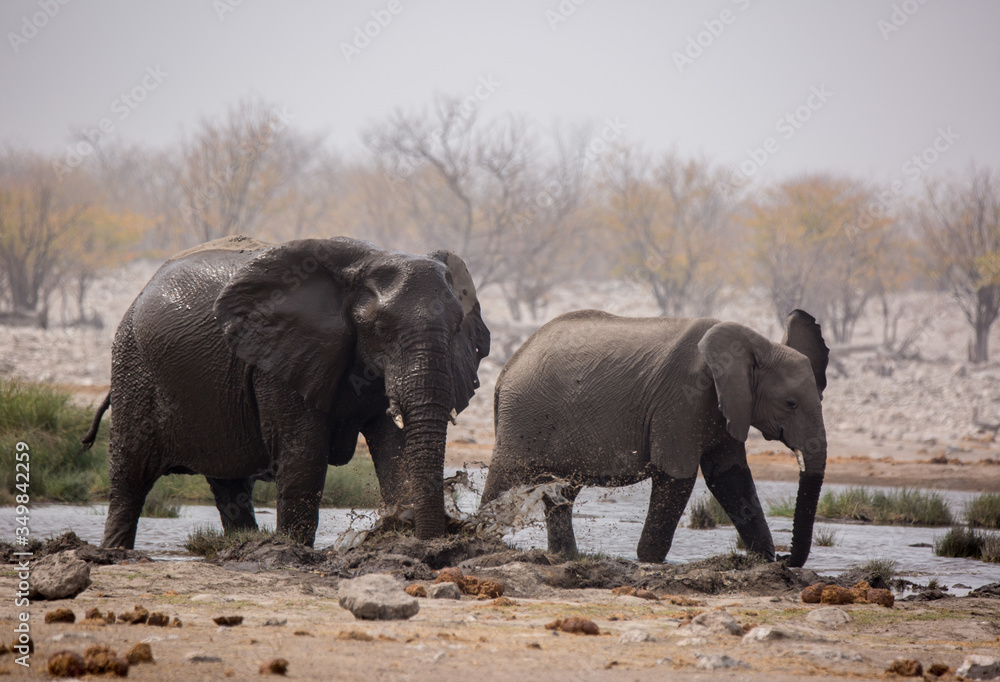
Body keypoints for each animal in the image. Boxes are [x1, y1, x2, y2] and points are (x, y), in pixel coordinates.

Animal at [83, 235, 489, 549]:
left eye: (457, 328)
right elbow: (304, 457)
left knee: (229, 484)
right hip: (133, 366)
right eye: (380, 327)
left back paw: (242, 544)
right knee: (130, 473)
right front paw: (295, 551)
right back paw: (115, 552)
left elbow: (394, 452)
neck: (369, 258)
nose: (436, 541)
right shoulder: (280, 358)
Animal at [479, 309, 828, 567]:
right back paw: (480, 540)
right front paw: (649, 562)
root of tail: (506, 370)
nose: (785, 558)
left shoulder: (726, 406)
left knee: (562, 491)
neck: (760, 344)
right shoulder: (684, 399)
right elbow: (677, 476)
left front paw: (763, 561)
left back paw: (564, 556)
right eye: (790, 403)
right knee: (504, 480)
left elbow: (729, 477)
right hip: (523, 417)